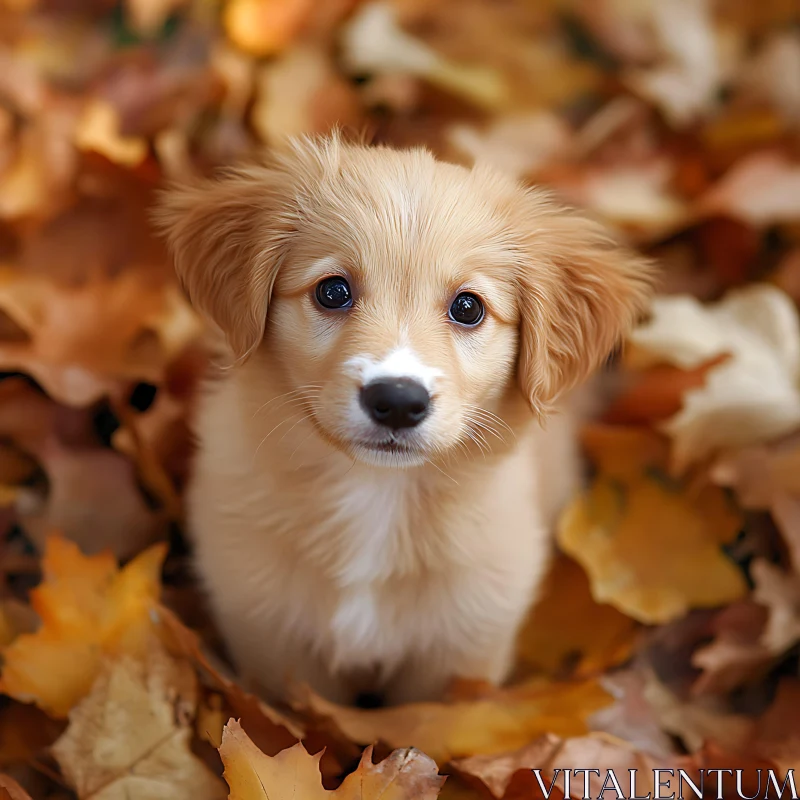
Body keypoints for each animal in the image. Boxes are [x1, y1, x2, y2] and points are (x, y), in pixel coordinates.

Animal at [158, 136, 656, 708]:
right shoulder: (272, 642)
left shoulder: (460, 652)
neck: (377, 496)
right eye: (332, 291)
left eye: (468, 307)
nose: (396, 400)